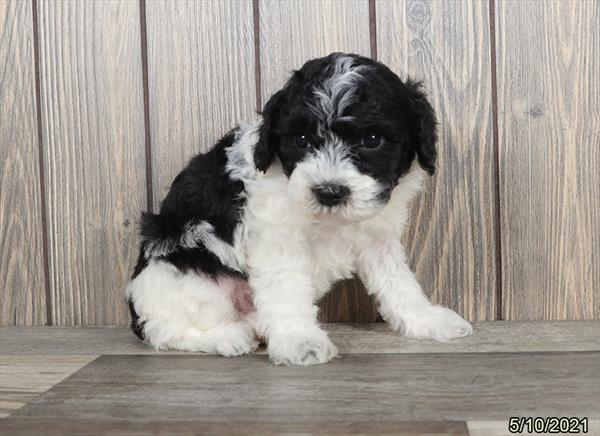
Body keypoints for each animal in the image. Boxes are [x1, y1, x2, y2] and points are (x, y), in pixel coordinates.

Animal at [126, 52, 474, 364]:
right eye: (303, 140)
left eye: (372, 139)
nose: (329, 192)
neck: (331, 221)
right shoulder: (277, 240)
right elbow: (286, 289)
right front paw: (299, 341)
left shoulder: (377, 237)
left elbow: (398, 281)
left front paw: (425, 319)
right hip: (185, 275)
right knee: (164, 329)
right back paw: (227, 337)